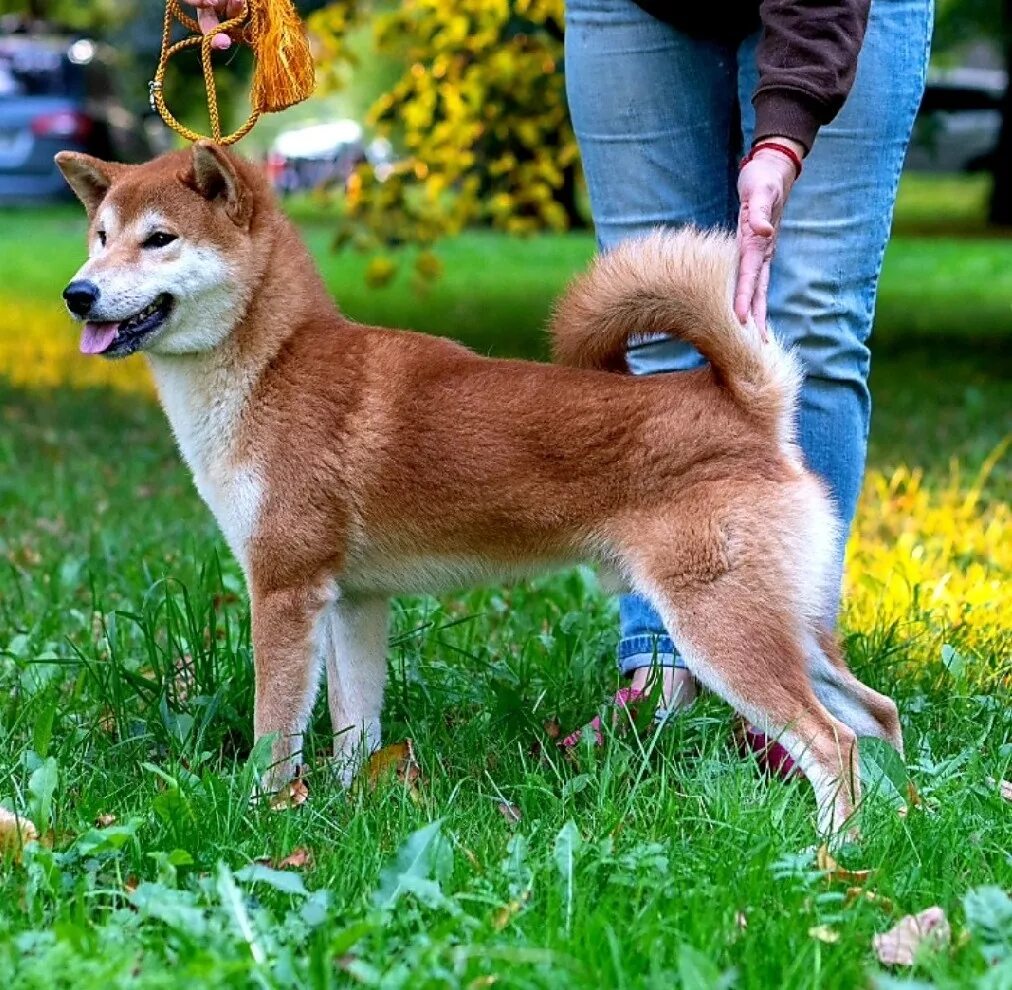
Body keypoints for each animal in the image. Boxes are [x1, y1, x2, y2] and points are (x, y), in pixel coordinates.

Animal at [55, 140, 902, 834]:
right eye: (100, 238)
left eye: (159, 239)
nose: (78, 294)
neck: (274, 366)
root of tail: (750, 405)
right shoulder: (354, 602)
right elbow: (354, 726)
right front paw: (349, 812)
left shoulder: (286, 590)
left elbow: (275, 731)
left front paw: (265, 819)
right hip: (788, 624)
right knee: (876, 717)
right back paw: (899, 829)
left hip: (721, 628)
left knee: (833, 742)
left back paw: (833, 858)